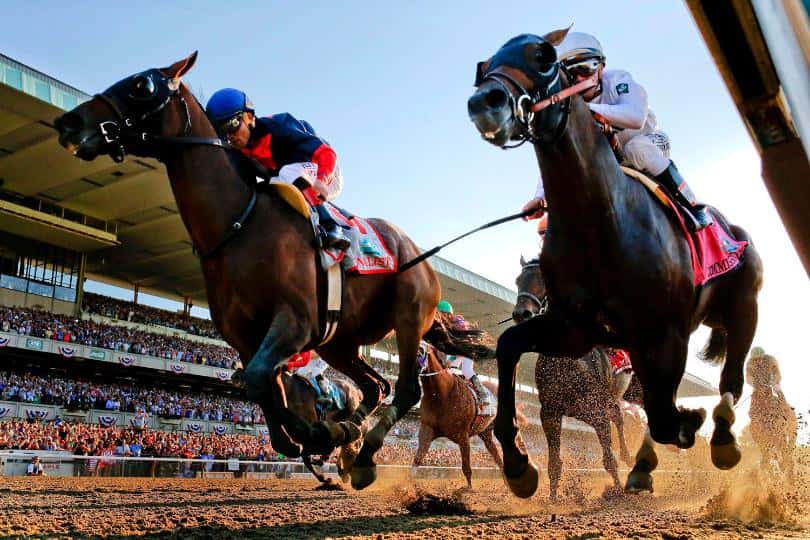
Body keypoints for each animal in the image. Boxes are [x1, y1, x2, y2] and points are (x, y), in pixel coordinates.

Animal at [54, 52, 483, 490]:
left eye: (141, 85)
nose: (69, 123)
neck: (239, 226)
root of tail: (420, 254)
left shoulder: (295, 321)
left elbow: (265, 380)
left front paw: (320, 435)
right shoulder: (247, 336)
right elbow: (263, 386)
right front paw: (316, 437)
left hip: (409, 316)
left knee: (406, 388)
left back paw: (361, 454)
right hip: (339, 341)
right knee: (374, 386)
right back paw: (354, 440)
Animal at [412, 342, 513, 489]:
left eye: (420, 351)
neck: (441, 394)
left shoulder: (463, 436)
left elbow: (466, 468)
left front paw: (469, 489)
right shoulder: (427, 428)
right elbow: (417, 460)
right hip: (485, 432)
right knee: (496, 455)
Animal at [513, 256, 642, 500]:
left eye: (543, 278)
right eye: (518, 280)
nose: (521, 313)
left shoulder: (597, 411)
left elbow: (608, 459)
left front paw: (619, 493)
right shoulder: (551, 413)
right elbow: (554, 463)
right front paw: (553, 499)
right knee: (620, 417)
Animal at [745, 347, 797, 484]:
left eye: (770, 367)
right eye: (753, 369)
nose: (765, 383)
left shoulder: (779, 435)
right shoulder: (764, 439)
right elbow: (768, 462)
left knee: (787, 455)